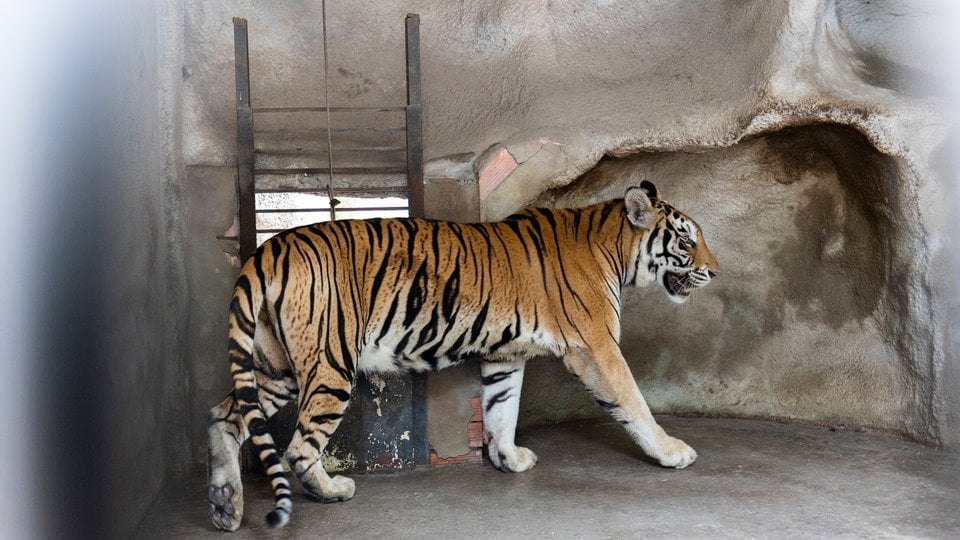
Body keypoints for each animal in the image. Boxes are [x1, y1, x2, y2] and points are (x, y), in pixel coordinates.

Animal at [207, 180, 718, 531]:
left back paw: (225, 504)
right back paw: (332, 490)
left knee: (223, 416)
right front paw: (672, 452)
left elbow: (501, 410)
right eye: (686, 241)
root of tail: (271, 247)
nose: (715, 272)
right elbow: (633, 401)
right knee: (297, 447)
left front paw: (509, 459)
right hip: (329, 364)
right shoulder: (595, 345)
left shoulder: (506, 355)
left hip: (275, 368)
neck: (614, 247)